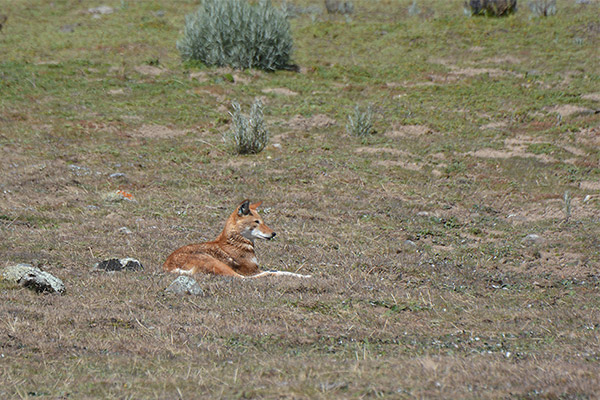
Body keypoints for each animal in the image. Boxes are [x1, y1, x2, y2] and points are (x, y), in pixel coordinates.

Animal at [164, 199, 312, 278]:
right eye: (257, 222)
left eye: (263, 221)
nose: (274, 234)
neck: (237, 242)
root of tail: (168, 266)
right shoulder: (252, 271)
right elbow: (277, 272)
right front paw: (305, 276)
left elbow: (281, 270)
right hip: (219, 265)